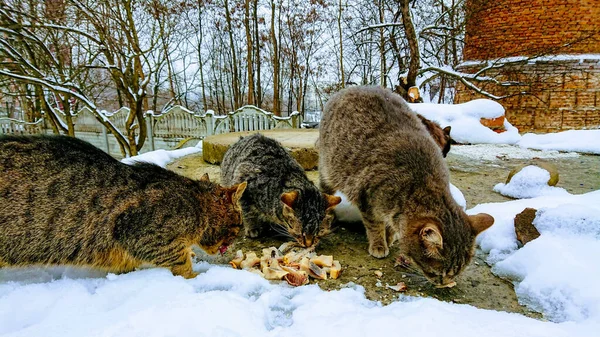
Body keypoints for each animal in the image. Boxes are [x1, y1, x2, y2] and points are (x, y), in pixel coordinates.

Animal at [0, 134, 246, 278]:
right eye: (240, 224)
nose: (239, 235)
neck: (196, 205)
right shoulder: (144, 235)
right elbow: (180, 262)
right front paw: (194, 277)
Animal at [318, 86, 492, 286]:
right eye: (438, 273)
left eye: (457, 272)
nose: (444, 284)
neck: (420, 184)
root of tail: (352, 88)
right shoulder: (367, 199)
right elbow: (375, 225)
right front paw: (379, 244)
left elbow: (390, 226)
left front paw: (390, 237)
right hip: (328, 169)